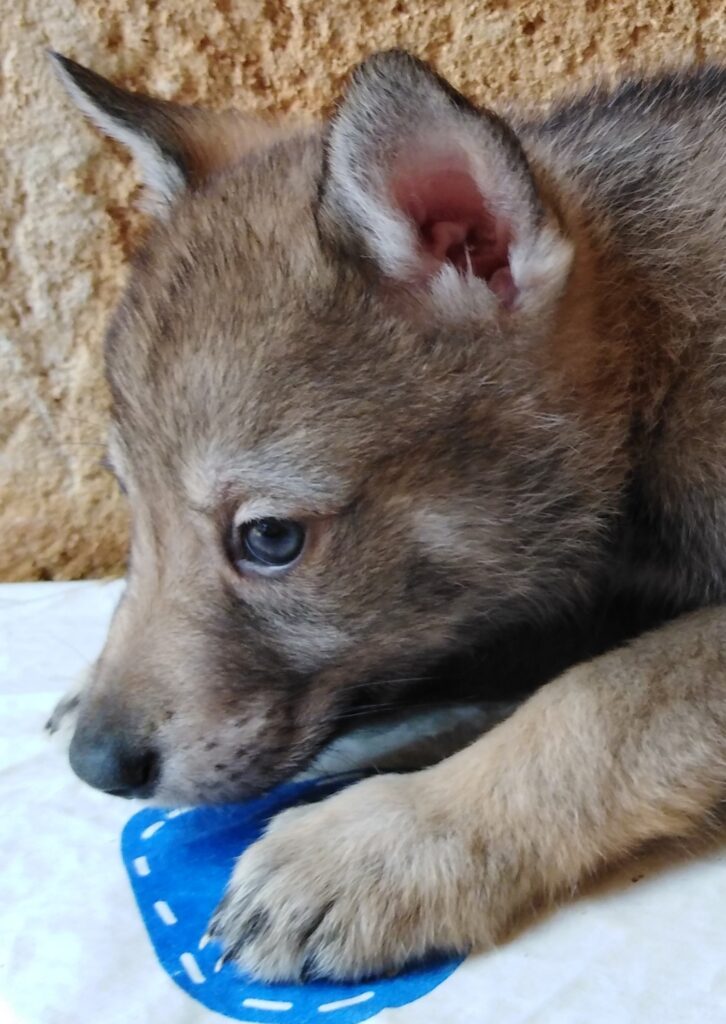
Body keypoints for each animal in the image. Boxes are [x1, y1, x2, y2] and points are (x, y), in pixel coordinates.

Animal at [52, 49, 726, 983]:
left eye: (269, 538)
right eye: (128, 500)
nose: (97, 766)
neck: (653, 352)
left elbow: (604, 705)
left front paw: (384, 843)